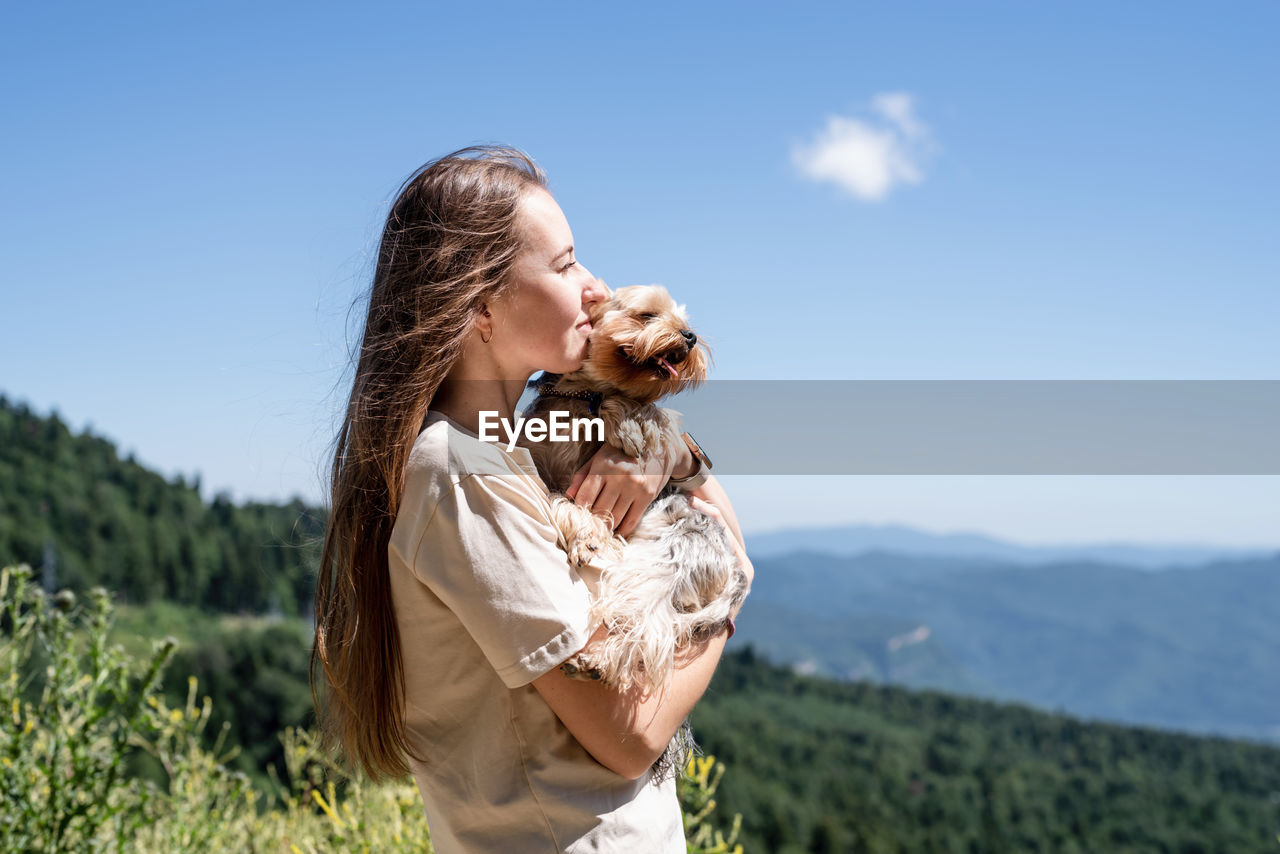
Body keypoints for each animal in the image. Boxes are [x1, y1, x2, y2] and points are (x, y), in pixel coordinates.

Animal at [517, 284, 747, 696]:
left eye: (683, 320)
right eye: (647, 315)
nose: (689, 336)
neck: (582, 397)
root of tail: (735, 575)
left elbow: (642, 409)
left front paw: (629, 425)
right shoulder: (538, 466)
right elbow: (559, 497)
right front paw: (588, 534)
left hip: (667, 561)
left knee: (650, 622)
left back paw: (597, 662)